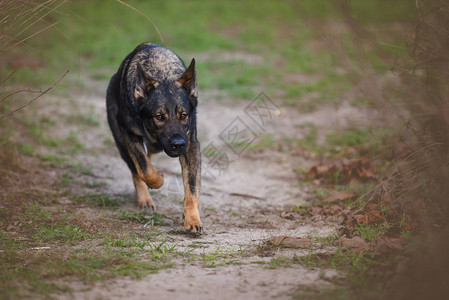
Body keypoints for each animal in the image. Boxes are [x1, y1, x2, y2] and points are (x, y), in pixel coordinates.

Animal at [106, 43, 200, 233]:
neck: (162, 73)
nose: (178, 144)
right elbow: (144, 169)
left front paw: (192, 219)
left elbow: (191, 187)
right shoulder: (129, 134)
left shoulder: (191, 145)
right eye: (159, 117)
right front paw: (159, 178)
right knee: (136, 168)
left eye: (184, 115)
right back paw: (144, 199)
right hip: (122, 145)